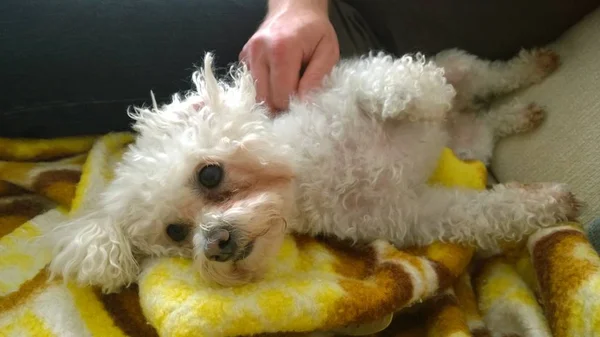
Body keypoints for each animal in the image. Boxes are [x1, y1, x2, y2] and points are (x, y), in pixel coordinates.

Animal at [49, 47, 580, 292]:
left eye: (209, 175)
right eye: (175, 232)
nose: (216, 242)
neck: (313, 174)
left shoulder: (343, 83)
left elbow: (386, 82)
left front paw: (411, 98)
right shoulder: (410, 212)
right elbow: (482, 211)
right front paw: (551, 201)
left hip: (461, 68)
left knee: (487, 75)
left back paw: (530, 69)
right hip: (470, 145)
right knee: (488, 121)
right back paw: (520, 114)